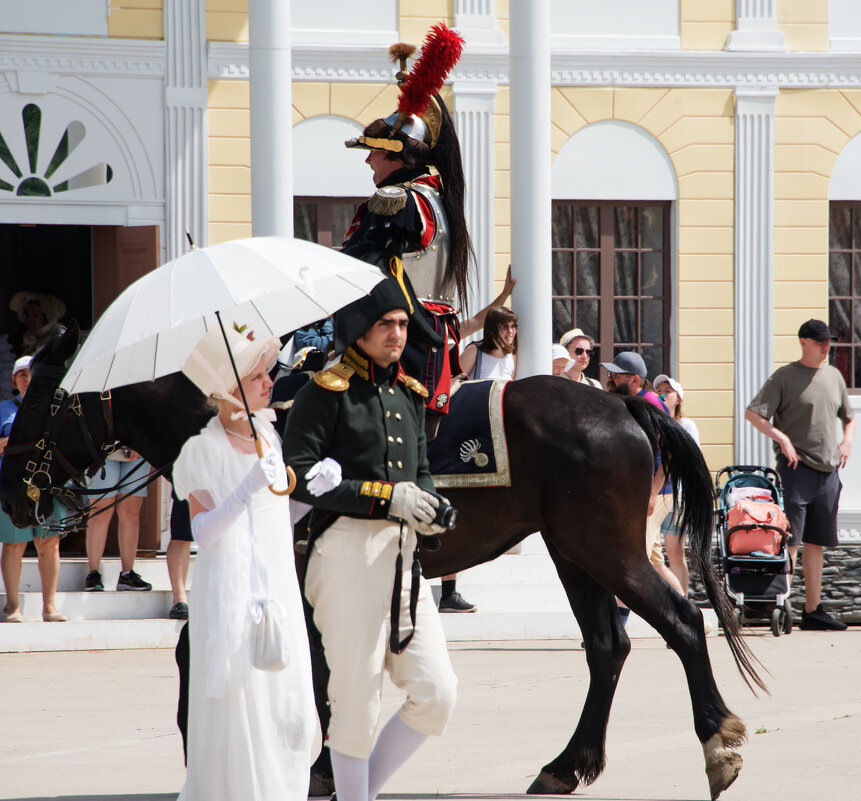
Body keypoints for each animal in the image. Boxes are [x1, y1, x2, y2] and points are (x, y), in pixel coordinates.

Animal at [1, 322, 764, 796]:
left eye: (45, 395)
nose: (12, 482)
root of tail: (624, 405)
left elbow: (224, 653)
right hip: (573, 552)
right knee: (608, 646)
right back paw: (566, 764)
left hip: (601, 549)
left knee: (679, 623)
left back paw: (717, 745)